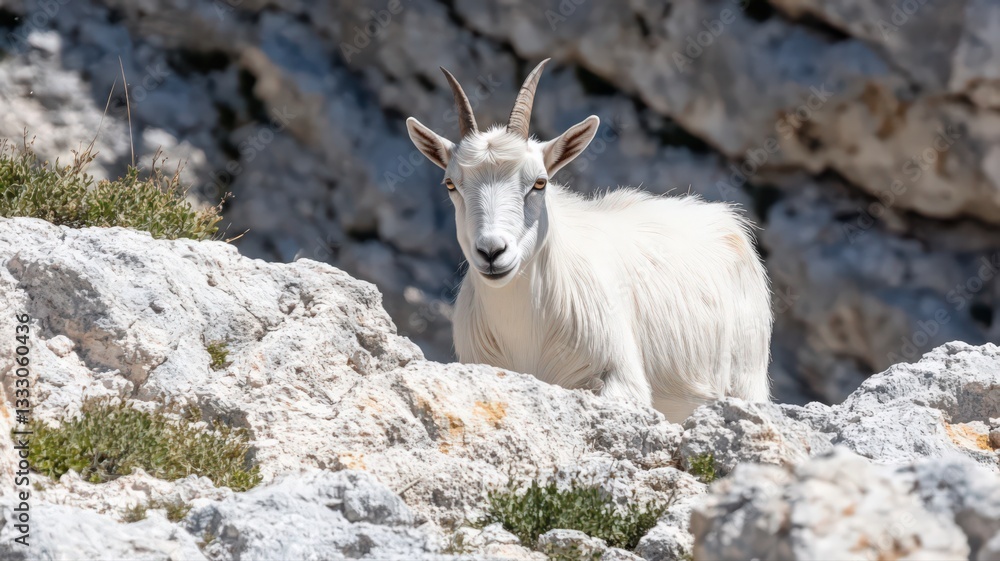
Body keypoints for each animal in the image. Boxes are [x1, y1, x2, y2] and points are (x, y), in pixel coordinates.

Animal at [405, 59, 773, 423]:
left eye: (540, 182)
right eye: (451, 184)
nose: (493, 251)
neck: (525, 331)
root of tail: (727, 220)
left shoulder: (621, 376)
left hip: (747, 377)